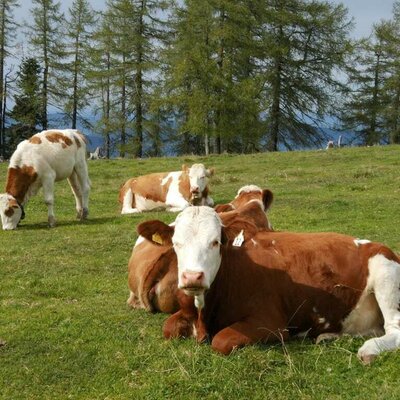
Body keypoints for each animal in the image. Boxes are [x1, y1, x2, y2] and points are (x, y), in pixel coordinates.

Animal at [137, 206, 400, 366]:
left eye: (216, 242)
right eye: (176, 243)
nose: (192, 277)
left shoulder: (270, 323)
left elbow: (221, 341)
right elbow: (168, 328)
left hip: (385, 273)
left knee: (394, 329)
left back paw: (369, 349)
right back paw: (329, 337)